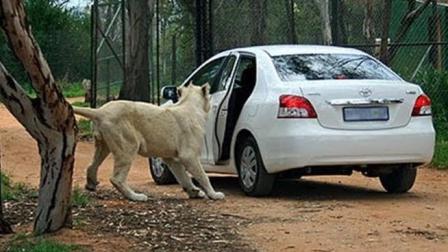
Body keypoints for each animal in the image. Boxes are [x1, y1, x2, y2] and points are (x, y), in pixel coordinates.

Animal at [75, 83, 226, 202]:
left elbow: (183, 177)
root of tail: (100, 111)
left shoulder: (171, 158)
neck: (189, 104)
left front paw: (194, 192)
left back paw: (91, 185)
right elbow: (203, 176)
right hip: (128, 145)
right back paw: (137, 197)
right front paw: (214, 194)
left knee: (91, 166)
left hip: (103, 145)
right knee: (116, 178)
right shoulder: (188, 155)